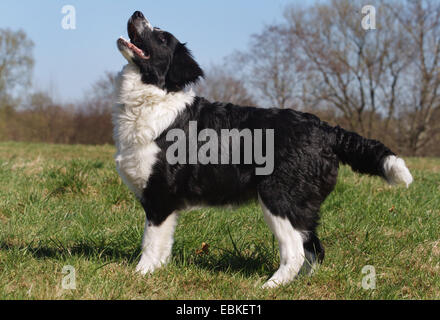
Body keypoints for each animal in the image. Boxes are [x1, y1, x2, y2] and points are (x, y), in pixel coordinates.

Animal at [112, 11, 412, 288]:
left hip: (280, 199)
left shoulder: (160, 196)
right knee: (314, 249)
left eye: (162, 38)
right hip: (302, 208)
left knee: (296, 252)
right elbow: (162, 246)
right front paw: (155, 273)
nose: (137, 13)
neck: (153, 97)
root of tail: (326, 129)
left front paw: (140, 275)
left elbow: (151, 243)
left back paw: (270, 286)